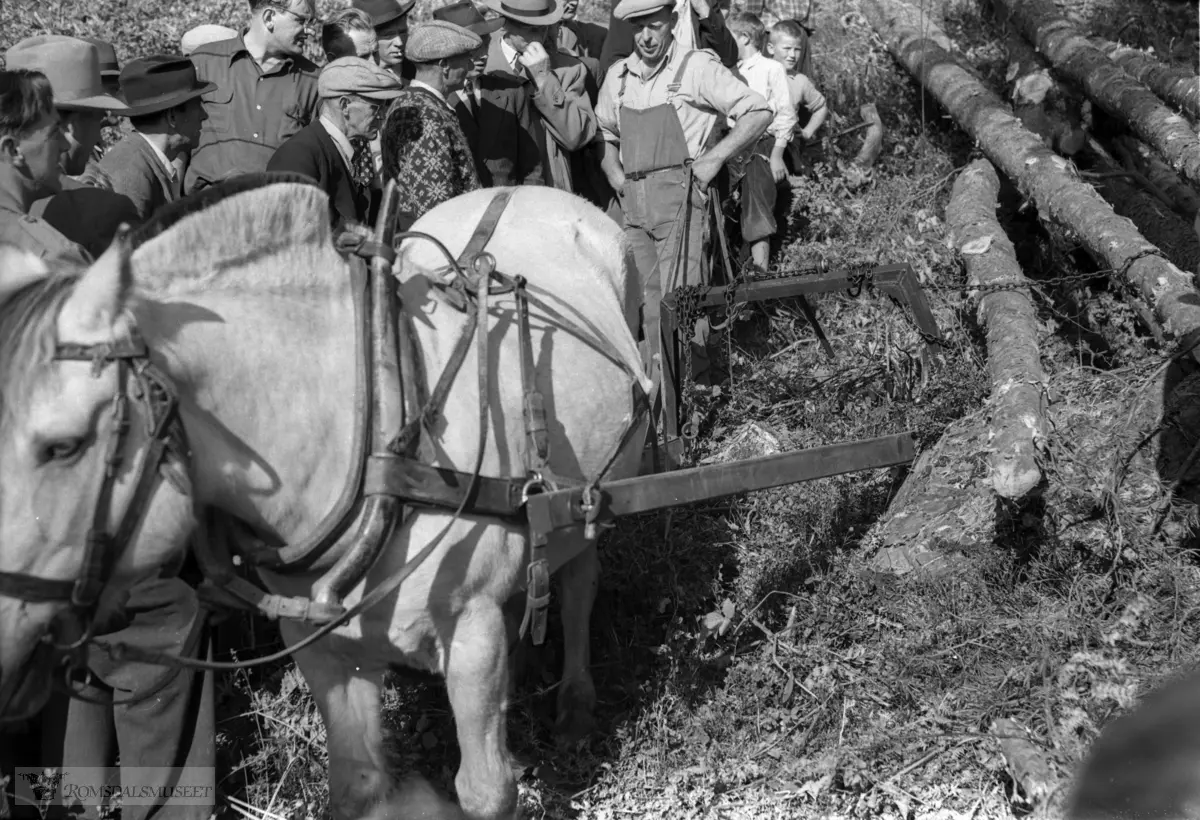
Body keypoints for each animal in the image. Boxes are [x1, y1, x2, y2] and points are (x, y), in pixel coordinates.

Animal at [0, 184, 652, 820]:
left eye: (63, 445)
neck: (378, 417)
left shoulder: (473, 630)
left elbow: (487, 791)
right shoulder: (324, 648)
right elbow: (357, 787)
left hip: (591, 499)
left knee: (579, 583)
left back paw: (575, 698)